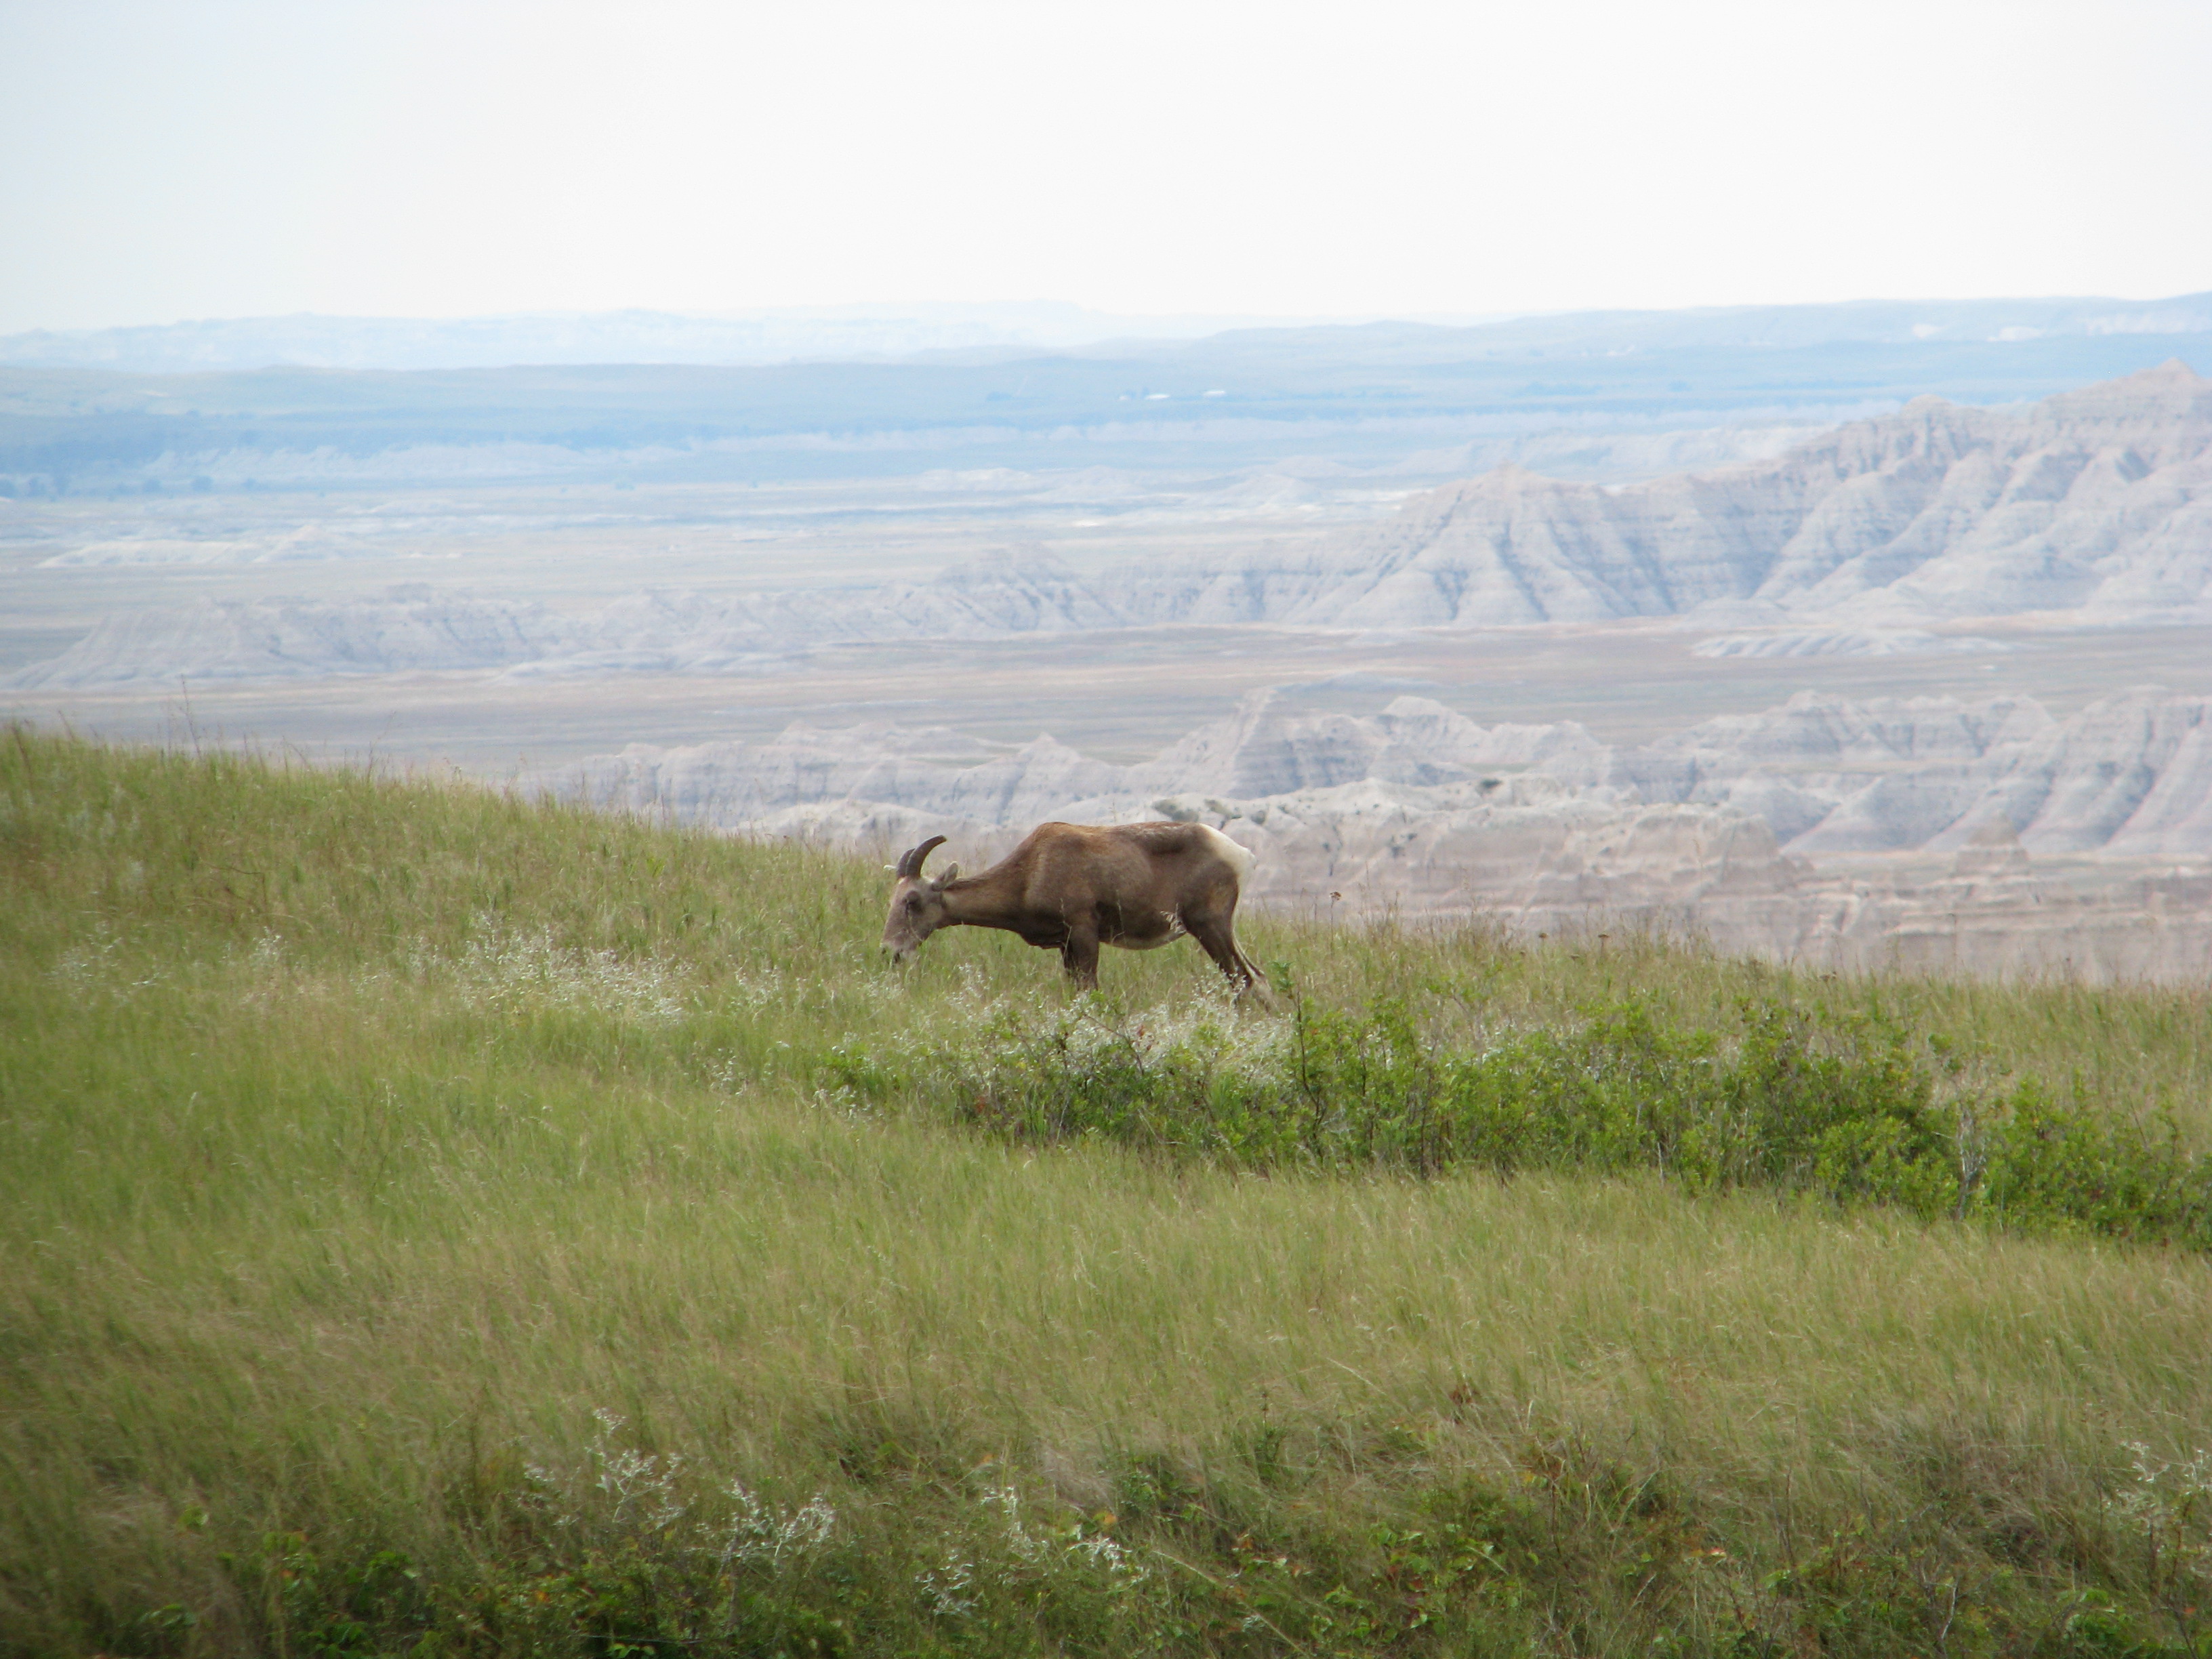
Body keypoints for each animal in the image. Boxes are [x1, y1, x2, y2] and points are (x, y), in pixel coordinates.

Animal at [881, 821, 1269, 997]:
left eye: (912, 900)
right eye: (893, 899)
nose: (891, 952)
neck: (1032, 869)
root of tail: (1241, 855)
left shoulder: (1083, 935)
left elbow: (1089, 989)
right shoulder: (1065, 945)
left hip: (1210, 928)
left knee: (1246, 981)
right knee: (1257, 978)